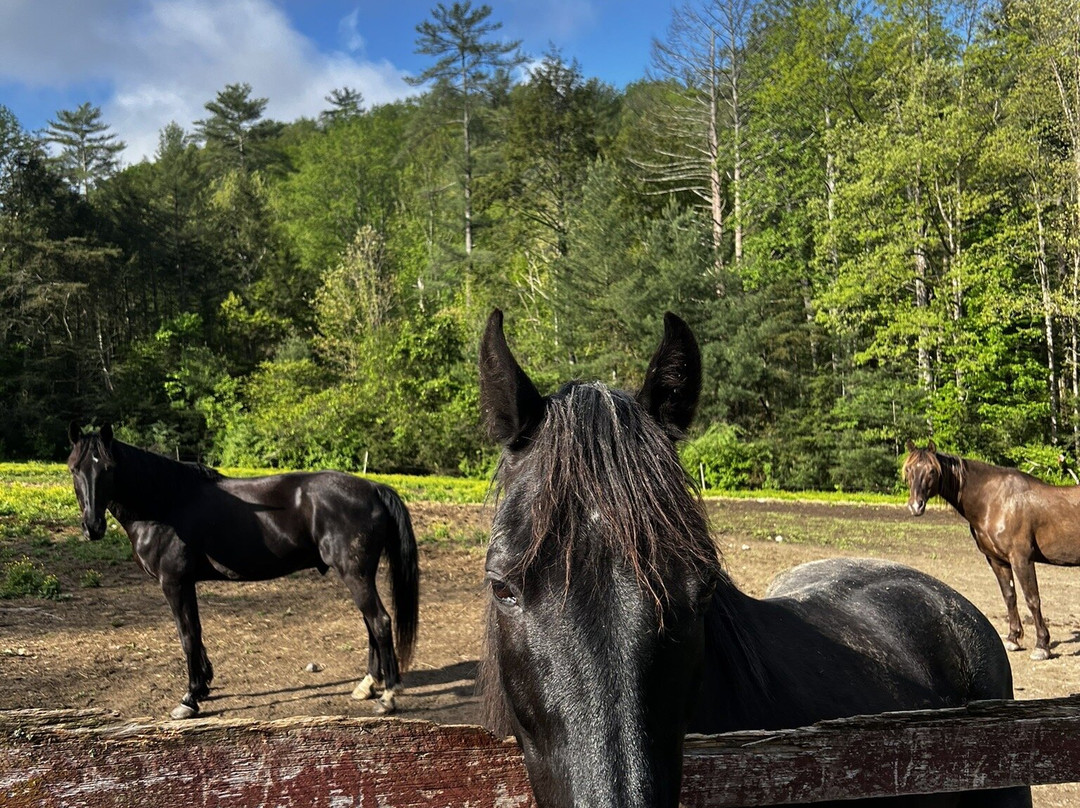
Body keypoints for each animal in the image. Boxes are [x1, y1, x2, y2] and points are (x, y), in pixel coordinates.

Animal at [66, 423, 419, 719]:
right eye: (74, 468)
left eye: (108, 468)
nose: (92, 527)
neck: (165, 504)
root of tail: (372, 487)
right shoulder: (186, 583)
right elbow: (197, 632)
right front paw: (203, 686)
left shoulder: (175, 582)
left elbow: (187, 635)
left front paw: (189, 698)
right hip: (358, 575)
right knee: (371, 624)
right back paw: (367, 685)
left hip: (355, 574)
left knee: (380, 622)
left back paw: (387, 696)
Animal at [903, 439, 1080, 662]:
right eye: (909, 469)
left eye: (932, 471)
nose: (915, 506)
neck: (995, 501)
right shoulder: (997, 560)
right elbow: (1009, 596)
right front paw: (1013, 639)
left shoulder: (1021, 559)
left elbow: (1032, 599)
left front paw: (1042, 646)